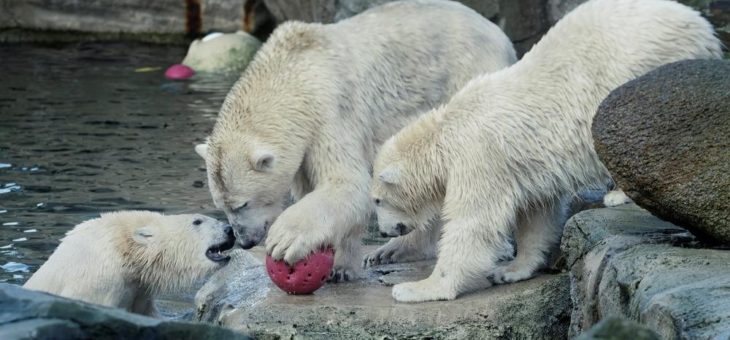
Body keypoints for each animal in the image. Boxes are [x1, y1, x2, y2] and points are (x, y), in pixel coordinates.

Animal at [193, 0, 512, 280]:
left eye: (242, 204)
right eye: (222, 205)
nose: (244, 241)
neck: (294, 71)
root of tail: (500, 35)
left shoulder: (330, 112)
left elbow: (347, 183)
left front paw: (288, 241)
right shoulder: (305, 145)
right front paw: (340, 265)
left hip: (463, 76)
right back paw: (394, 250)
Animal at [366, 0, 720, 302]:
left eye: (378, 200)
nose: (384, 231)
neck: (447, 129)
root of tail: (702, 25)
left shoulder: (481, 156)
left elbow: (474, 223)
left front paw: (418, 288)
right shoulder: (522, 164)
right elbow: (537, 211)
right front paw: (511, 270)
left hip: (646, 70)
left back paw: (619, 192)